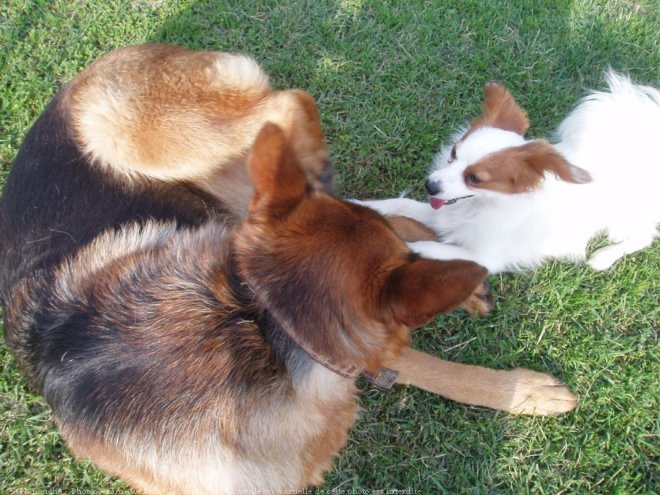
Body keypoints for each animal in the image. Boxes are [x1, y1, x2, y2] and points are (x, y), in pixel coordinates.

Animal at [360, 72, 660, 276]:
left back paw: (603, 256)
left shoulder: (484, 258)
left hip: (624, 219)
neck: (481, 206)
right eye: (453, 153)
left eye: (475, 179)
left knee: (643, 237)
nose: (430, 185)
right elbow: (400, 204)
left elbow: (425, 247)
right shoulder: (443, 213)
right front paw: (363, 205)